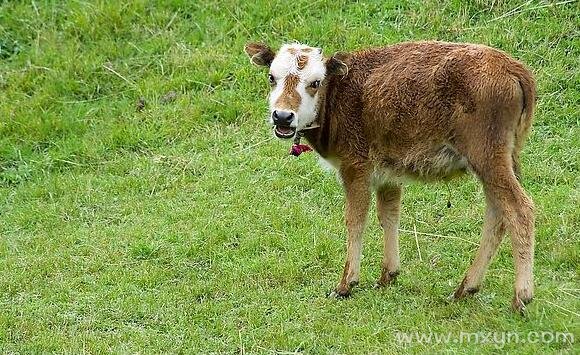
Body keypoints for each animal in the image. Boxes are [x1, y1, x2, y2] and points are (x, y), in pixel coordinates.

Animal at [244, 41, 536, 312]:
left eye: (315, 82)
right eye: (272, 77)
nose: (283, 116)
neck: (339, 94)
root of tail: (515, 70)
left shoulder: (355, 168)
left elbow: (355, 219)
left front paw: (346, 284)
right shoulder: (388, 174)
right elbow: (389, 215)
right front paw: (388, 275)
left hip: (487, 157)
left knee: (519, 209)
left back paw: (521, 297)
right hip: (503, 160)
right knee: (497, 214)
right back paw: (465, 288)